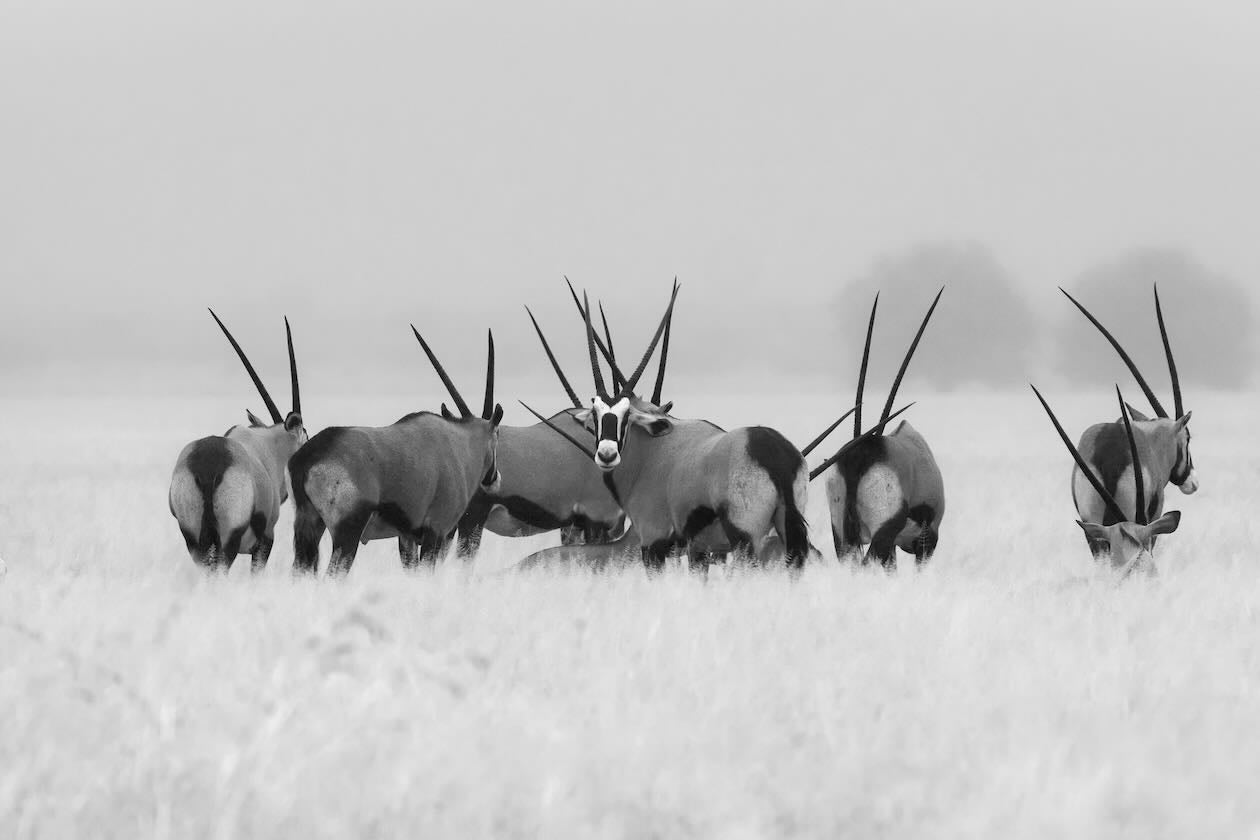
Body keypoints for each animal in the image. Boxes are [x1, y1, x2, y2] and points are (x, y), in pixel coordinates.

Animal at [168, 311, 306, 572]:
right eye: (306, 439)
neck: (269, 448)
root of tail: (208, 466)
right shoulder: (266, 539)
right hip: (227, 541)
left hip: (194, 540)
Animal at [288, 328, 503, 576]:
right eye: (497, 434)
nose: (494, 478)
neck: (461, 443)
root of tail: (308, 457)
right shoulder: (437, 530)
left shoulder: (406, 537)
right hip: (346, 534)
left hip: (309, 525)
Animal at [1060, 285, 1197, 555]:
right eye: (1188, 438)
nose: (1192, 482)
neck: (1153, 440)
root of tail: (1107, 457)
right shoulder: (1155, 515)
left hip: (1092, 528)